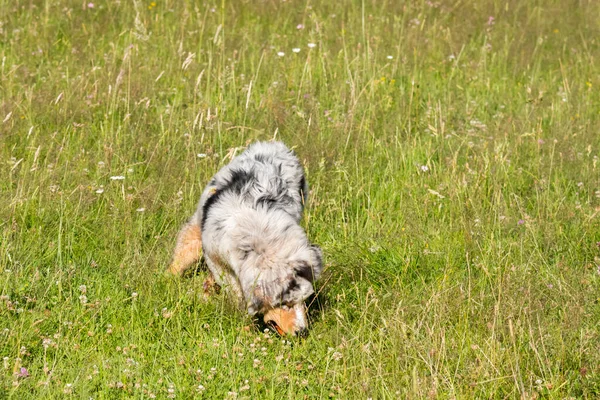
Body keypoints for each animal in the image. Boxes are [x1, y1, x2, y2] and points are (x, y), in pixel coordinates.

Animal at [166, 142, 322, 336]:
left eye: (304, 299)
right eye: (284, 303)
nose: (302, 332)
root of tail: (275, 144)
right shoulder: (216, 259)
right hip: (196, 234)